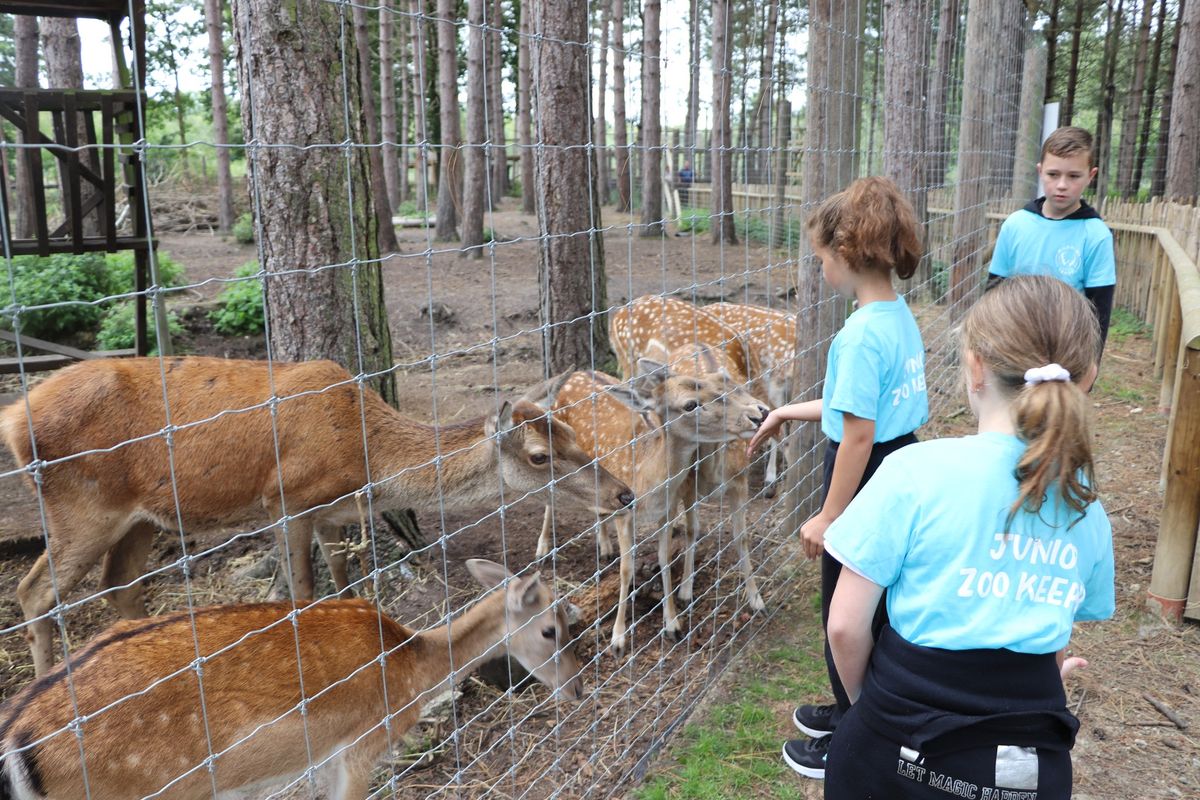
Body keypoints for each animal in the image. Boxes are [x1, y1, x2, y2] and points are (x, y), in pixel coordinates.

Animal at [0, 556, 580, 800]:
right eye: (552, 629)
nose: (576, 686)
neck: (412, 670)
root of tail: (15, 738)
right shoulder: (361, 744)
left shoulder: (320, 755)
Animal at [2, 357, 638, 676]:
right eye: (538, 456)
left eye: (573, 434)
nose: (624, 493)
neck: (365, 460)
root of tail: (14, 419)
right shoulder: (285, 498)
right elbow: (304, 588)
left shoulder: (334, 512)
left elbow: (341, 579)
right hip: (80, 505)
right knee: (33, 592)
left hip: (140, 516)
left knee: (119, 583)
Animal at [528, 352, 768, 652]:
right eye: (690, 404)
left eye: (717, 387)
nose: (756, 416)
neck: (649, 482)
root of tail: (575, 373)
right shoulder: (625, 513)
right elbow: (626, 569)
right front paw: (618, 639)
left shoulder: (668, 509)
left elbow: (664, 559)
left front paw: (673, 625)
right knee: (550, 494)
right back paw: (543, 549)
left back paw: (604, 546)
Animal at [609, 297, 768, 618]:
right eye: (693, 404)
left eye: (734, 384)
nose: (759, 412)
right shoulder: (688, 485)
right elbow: (694, 531)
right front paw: (684, 591)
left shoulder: (741, 479)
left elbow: (741, 536)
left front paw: (756, 598)